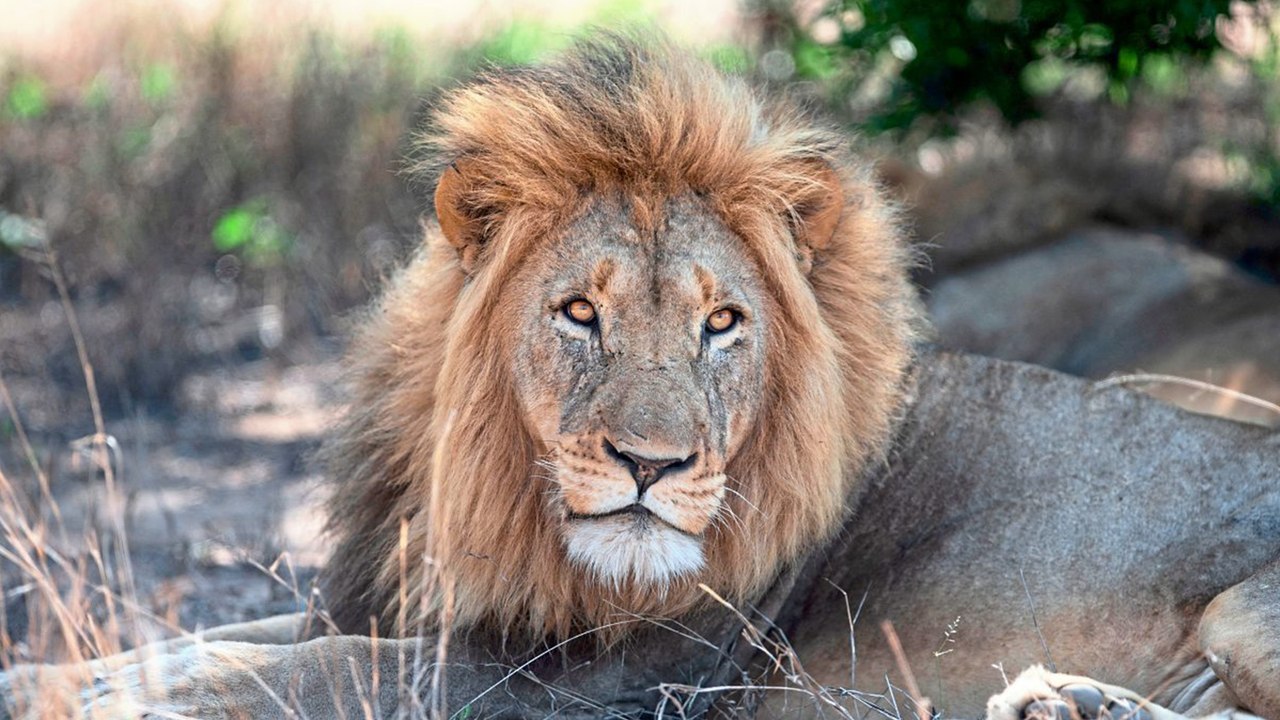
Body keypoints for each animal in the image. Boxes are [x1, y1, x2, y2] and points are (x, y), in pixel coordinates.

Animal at [1, 35, 1278, 720]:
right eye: (580, 313)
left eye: (723, 323)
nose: (651, 467)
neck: (495, 496)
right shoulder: (396, 596)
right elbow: (229, 636)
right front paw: (61, 678)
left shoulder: (615, 682)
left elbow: (319, 670)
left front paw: (113, 697)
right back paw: (1064, 700)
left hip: (1240, 605)